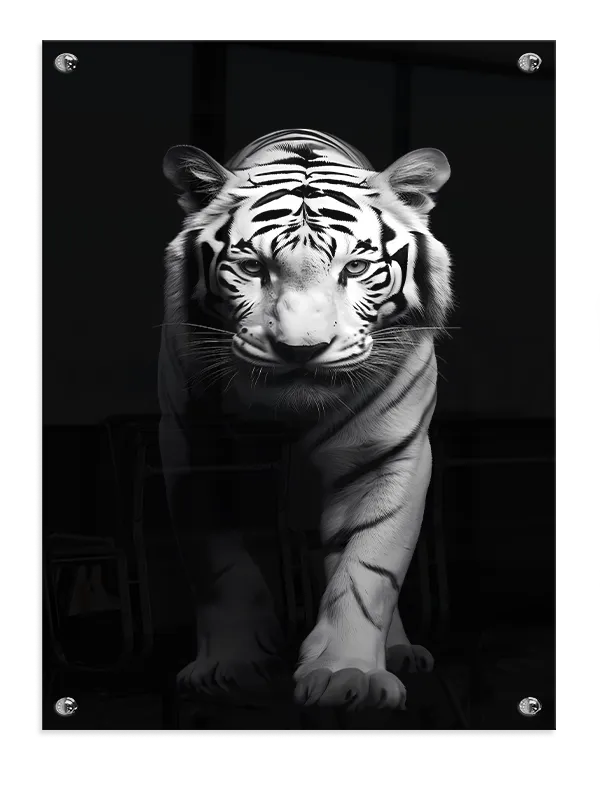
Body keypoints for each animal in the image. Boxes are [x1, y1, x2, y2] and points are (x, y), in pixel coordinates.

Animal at [159, 128, 452, 711]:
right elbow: (221, 568)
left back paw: (401, 650)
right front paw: (228, 667)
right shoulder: (195, 455)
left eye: (355, 268)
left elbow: (367, 569)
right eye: (252, 268)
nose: (301, 349)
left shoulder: (388, 458)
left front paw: (348, 675)